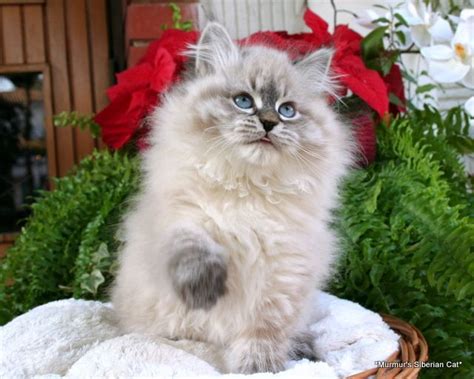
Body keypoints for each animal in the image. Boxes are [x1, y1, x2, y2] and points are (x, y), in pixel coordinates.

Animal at [113, 21, 354, 374]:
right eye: (243, 101)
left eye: (287, 110)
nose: (269, 122)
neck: (248, 186)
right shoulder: (181, 218)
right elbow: (193, 251)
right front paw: (204, 294)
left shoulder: (282, 268)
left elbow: (263, 328)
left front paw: (259, 367)